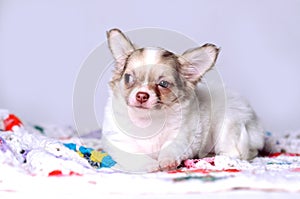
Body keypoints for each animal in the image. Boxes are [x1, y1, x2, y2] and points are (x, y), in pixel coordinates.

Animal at [102, 28, 264, 173]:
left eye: (163, 84)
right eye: (128, 78)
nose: (142, 95)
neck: (148, 120)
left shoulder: (182, 137)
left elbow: (171, 147)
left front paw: (167, 160)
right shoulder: (119, 141)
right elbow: (133, 154)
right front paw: (148, 164)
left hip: (229, 125)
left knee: (239, 152)